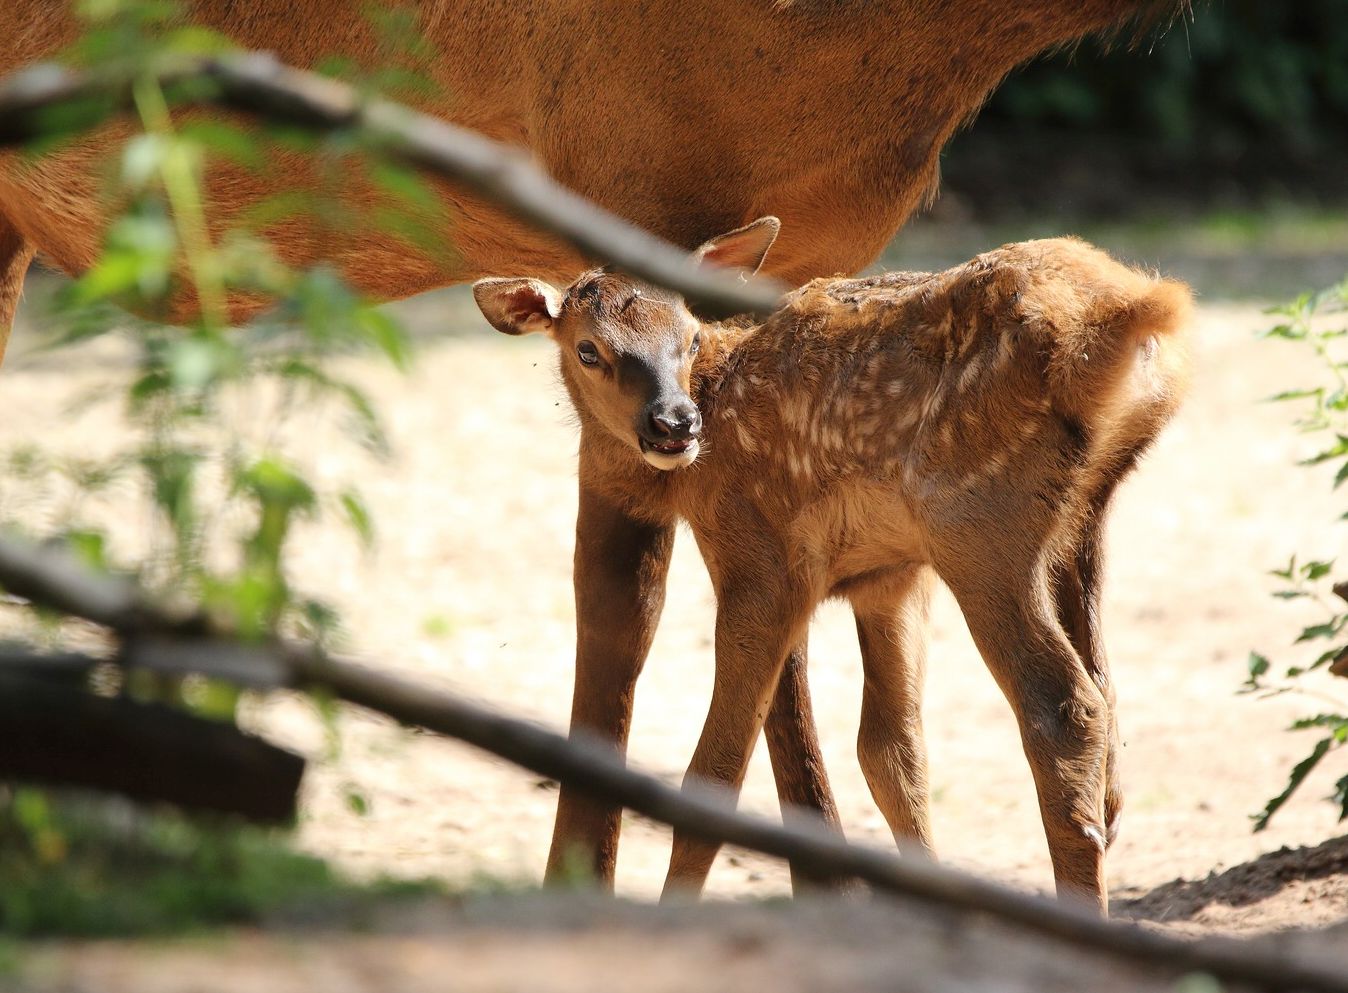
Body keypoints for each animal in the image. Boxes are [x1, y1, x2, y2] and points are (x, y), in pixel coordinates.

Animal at [471, 220, 1191, 910]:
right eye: (588, 349)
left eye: (690, 336)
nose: (675, 423)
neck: (690, 483)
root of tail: (1130, 312)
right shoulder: (892, 577)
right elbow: (891, 750)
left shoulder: (761, 564)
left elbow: (718, 771)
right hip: (1082, 520)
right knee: (1106, 694)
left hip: (981, 522)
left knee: (1065, 708)